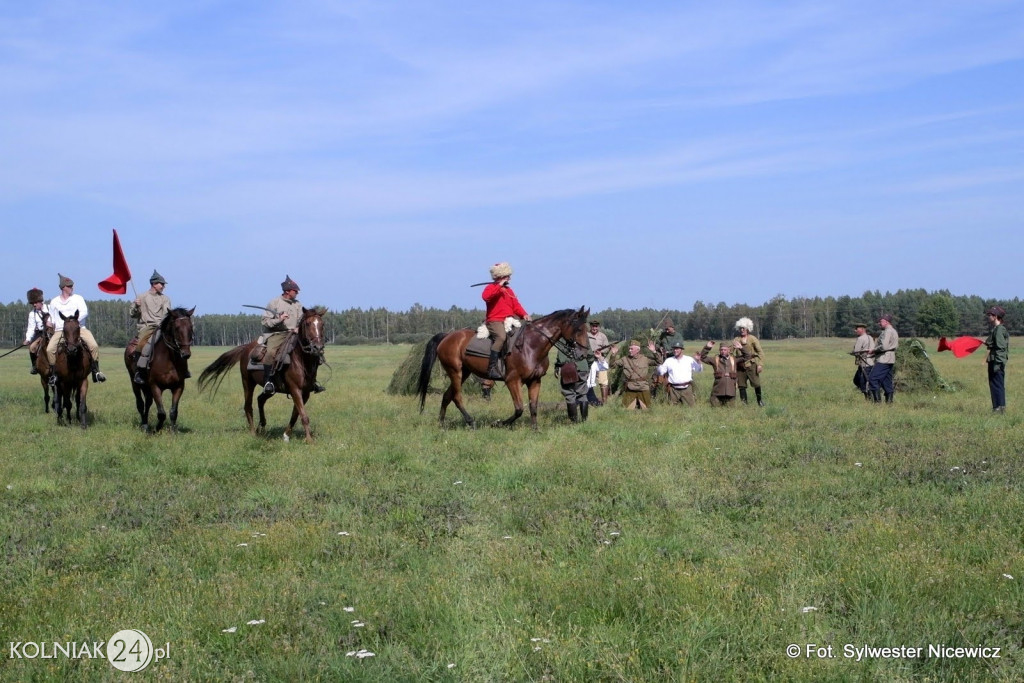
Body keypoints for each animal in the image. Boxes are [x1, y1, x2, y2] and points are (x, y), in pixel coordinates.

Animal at [197, 307, 325, 446]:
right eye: (307, 324)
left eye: (322, 324)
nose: (318, 347)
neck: (300, 360)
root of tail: (245, 348)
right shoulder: (295, 390)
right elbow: (303, 415)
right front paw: (309, 439)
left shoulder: (305, 393)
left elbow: (295, 414)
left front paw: (286, 435)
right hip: (247, 383)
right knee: (248, 406)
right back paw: (253, 432)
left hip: (271, 389)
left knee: (260, 399)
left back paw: (262, 426)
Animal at [417, 307, 593, 430]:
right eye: (579, 329)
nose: (584, 354)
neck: (531, 346)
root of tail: (447, 336)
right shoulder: (512, 381)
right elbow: (519, 408)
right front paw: (498, 423)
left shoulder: (535, 381)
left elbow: (533, 406)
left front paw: (535, 429)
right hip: (455, 372)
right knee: (456, 397)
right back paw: (471, 421)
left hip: (464, 372)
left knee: (447, 396)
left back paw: (441, 424)